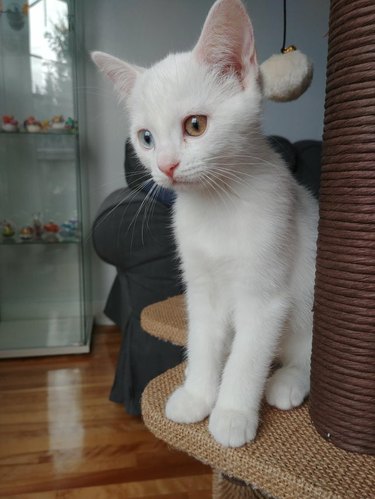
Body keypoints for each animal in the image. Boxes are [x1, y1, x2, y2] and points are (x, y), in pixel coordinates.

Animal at [92, 0, 318, 450]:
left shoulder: (265, 296)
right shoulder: (200, 287)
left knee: (305, 357)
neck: (217, 206)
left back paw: (287, 383)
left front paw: (231, 414)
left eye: (195, 125)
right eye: (145, 138)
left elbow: (247, 358)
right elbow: (202, 341)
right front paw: (198, 396)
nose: (165, 166)